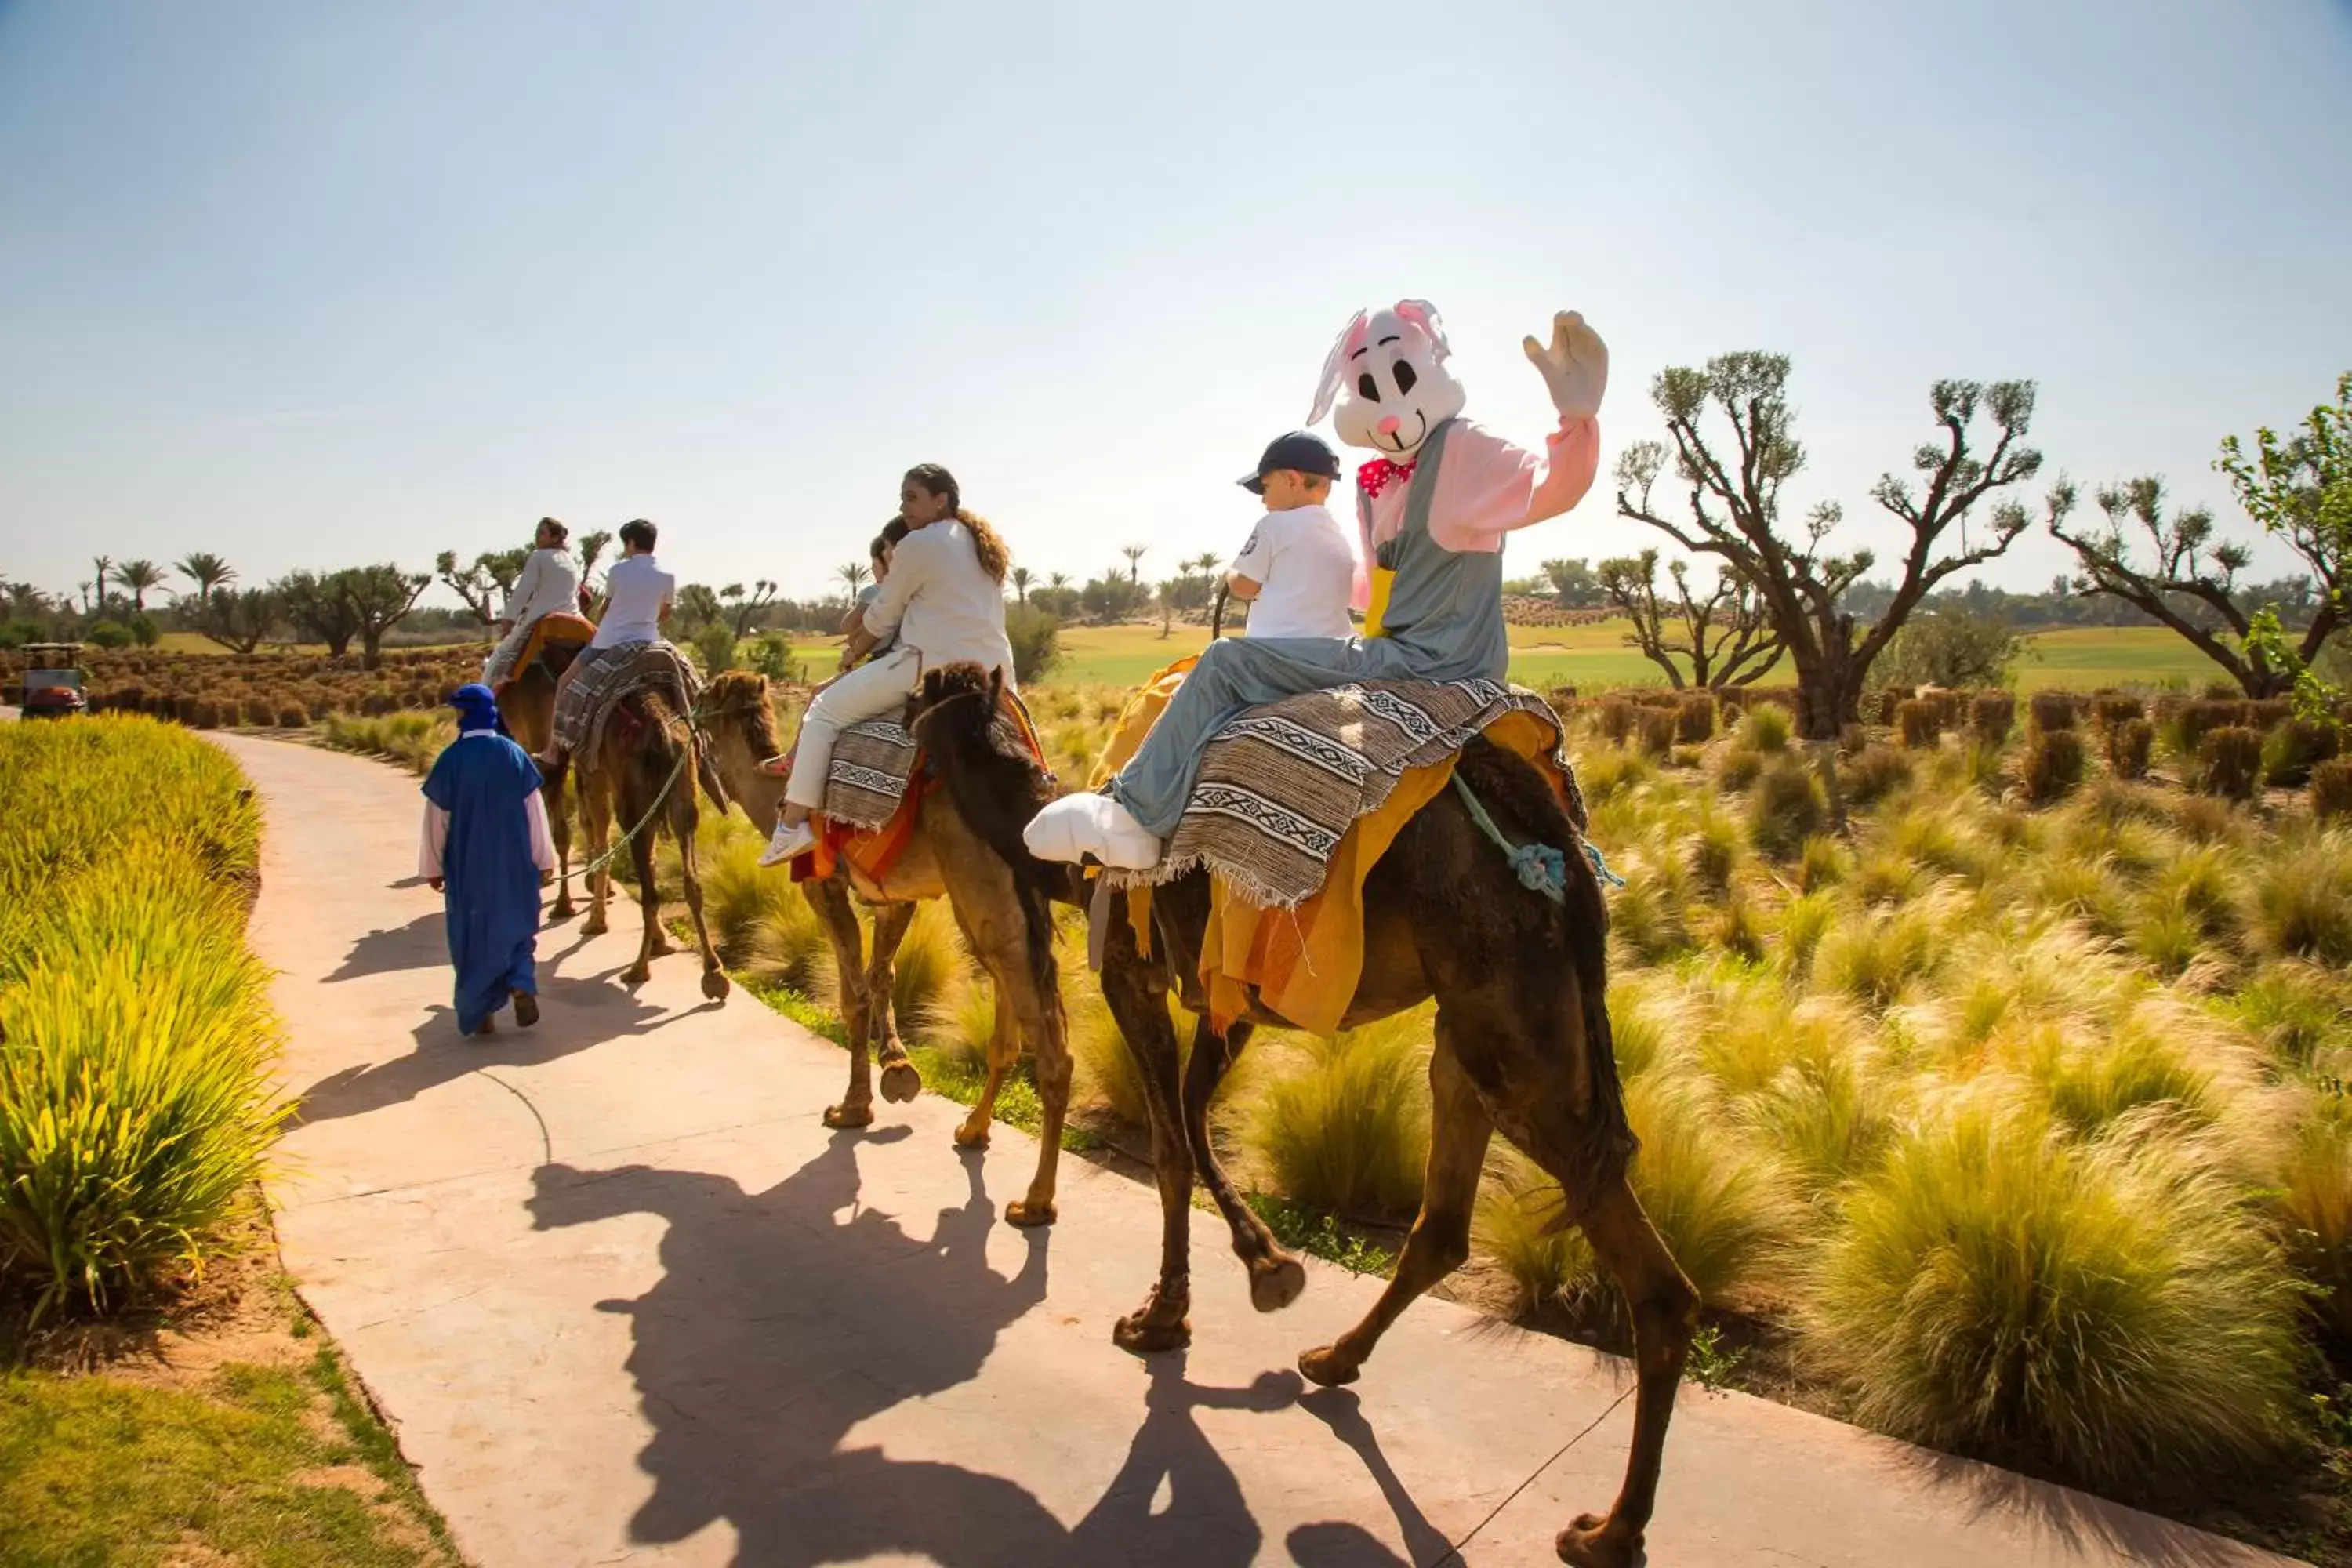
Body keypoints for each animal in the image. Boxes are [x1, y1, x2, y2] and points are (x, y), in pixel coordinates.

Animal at [687, 667, 1077, 1222]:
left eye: (704, 697)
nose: (689, 713)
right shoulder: (895, 896)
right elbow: (881, 975)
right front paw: (897, 1071)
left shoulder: (822, 885)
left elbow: (853, 994)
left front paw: (851, 1107)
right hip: (1008, 899)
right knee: (1010, 1021)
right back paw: (973, 1130)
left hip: (981, 888)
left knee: (1050, 1049)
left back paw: (1035, 1201)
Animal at [908, 672, 1703, 1568]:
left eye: (917, 706)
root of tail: (1559, 850)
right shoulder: (1230, 993)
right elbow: (1192, 1118)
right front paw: (1255, 1270)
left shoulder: (1131, 966)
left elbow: (1173, 1147)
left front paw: (1170, 1313)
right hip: (1472, 1030)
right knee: (1444, 1223)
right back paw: (1333, 1357)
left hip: (1512, 1025)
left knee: (1652, 1282)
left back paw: (1610, 1531)